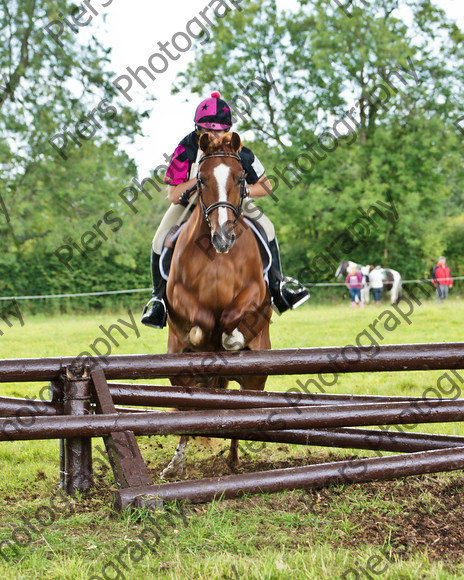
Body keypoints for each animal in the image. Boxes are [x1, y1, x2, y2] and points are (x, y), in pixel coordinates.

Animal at [162, 134, 272, 478]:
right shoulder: (177, 296)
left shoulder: (255, 292)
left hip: (256, 377)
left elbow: (233, 320)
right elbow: (202, 321)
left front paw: (230, 340)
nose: (224, 237)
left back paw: (234, 461)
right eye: (201, 180)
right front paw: (202, 340)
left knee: (244, 407)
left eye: (239, 178)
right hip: (176, 376)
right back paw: (175, 465)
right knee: (187, 411)